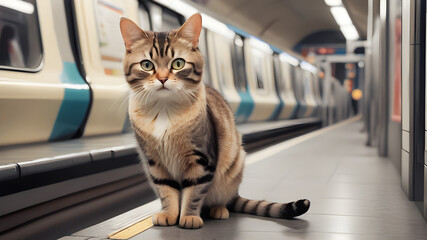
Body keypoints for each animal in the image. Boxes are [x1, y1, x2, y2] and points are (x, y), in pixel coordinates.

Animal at [120, 13, 310, 229]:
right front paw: (169, 214)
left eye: (178, 64)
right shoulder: (155, 162)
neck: (164, 109)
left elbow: (194, 193)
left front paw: (189, 216)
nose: (162, 79)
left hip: (231, 171)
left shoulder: (201, 159)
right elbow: (167, 192)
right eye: (147, 65)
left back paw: (218, 209)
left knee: (221, 199)